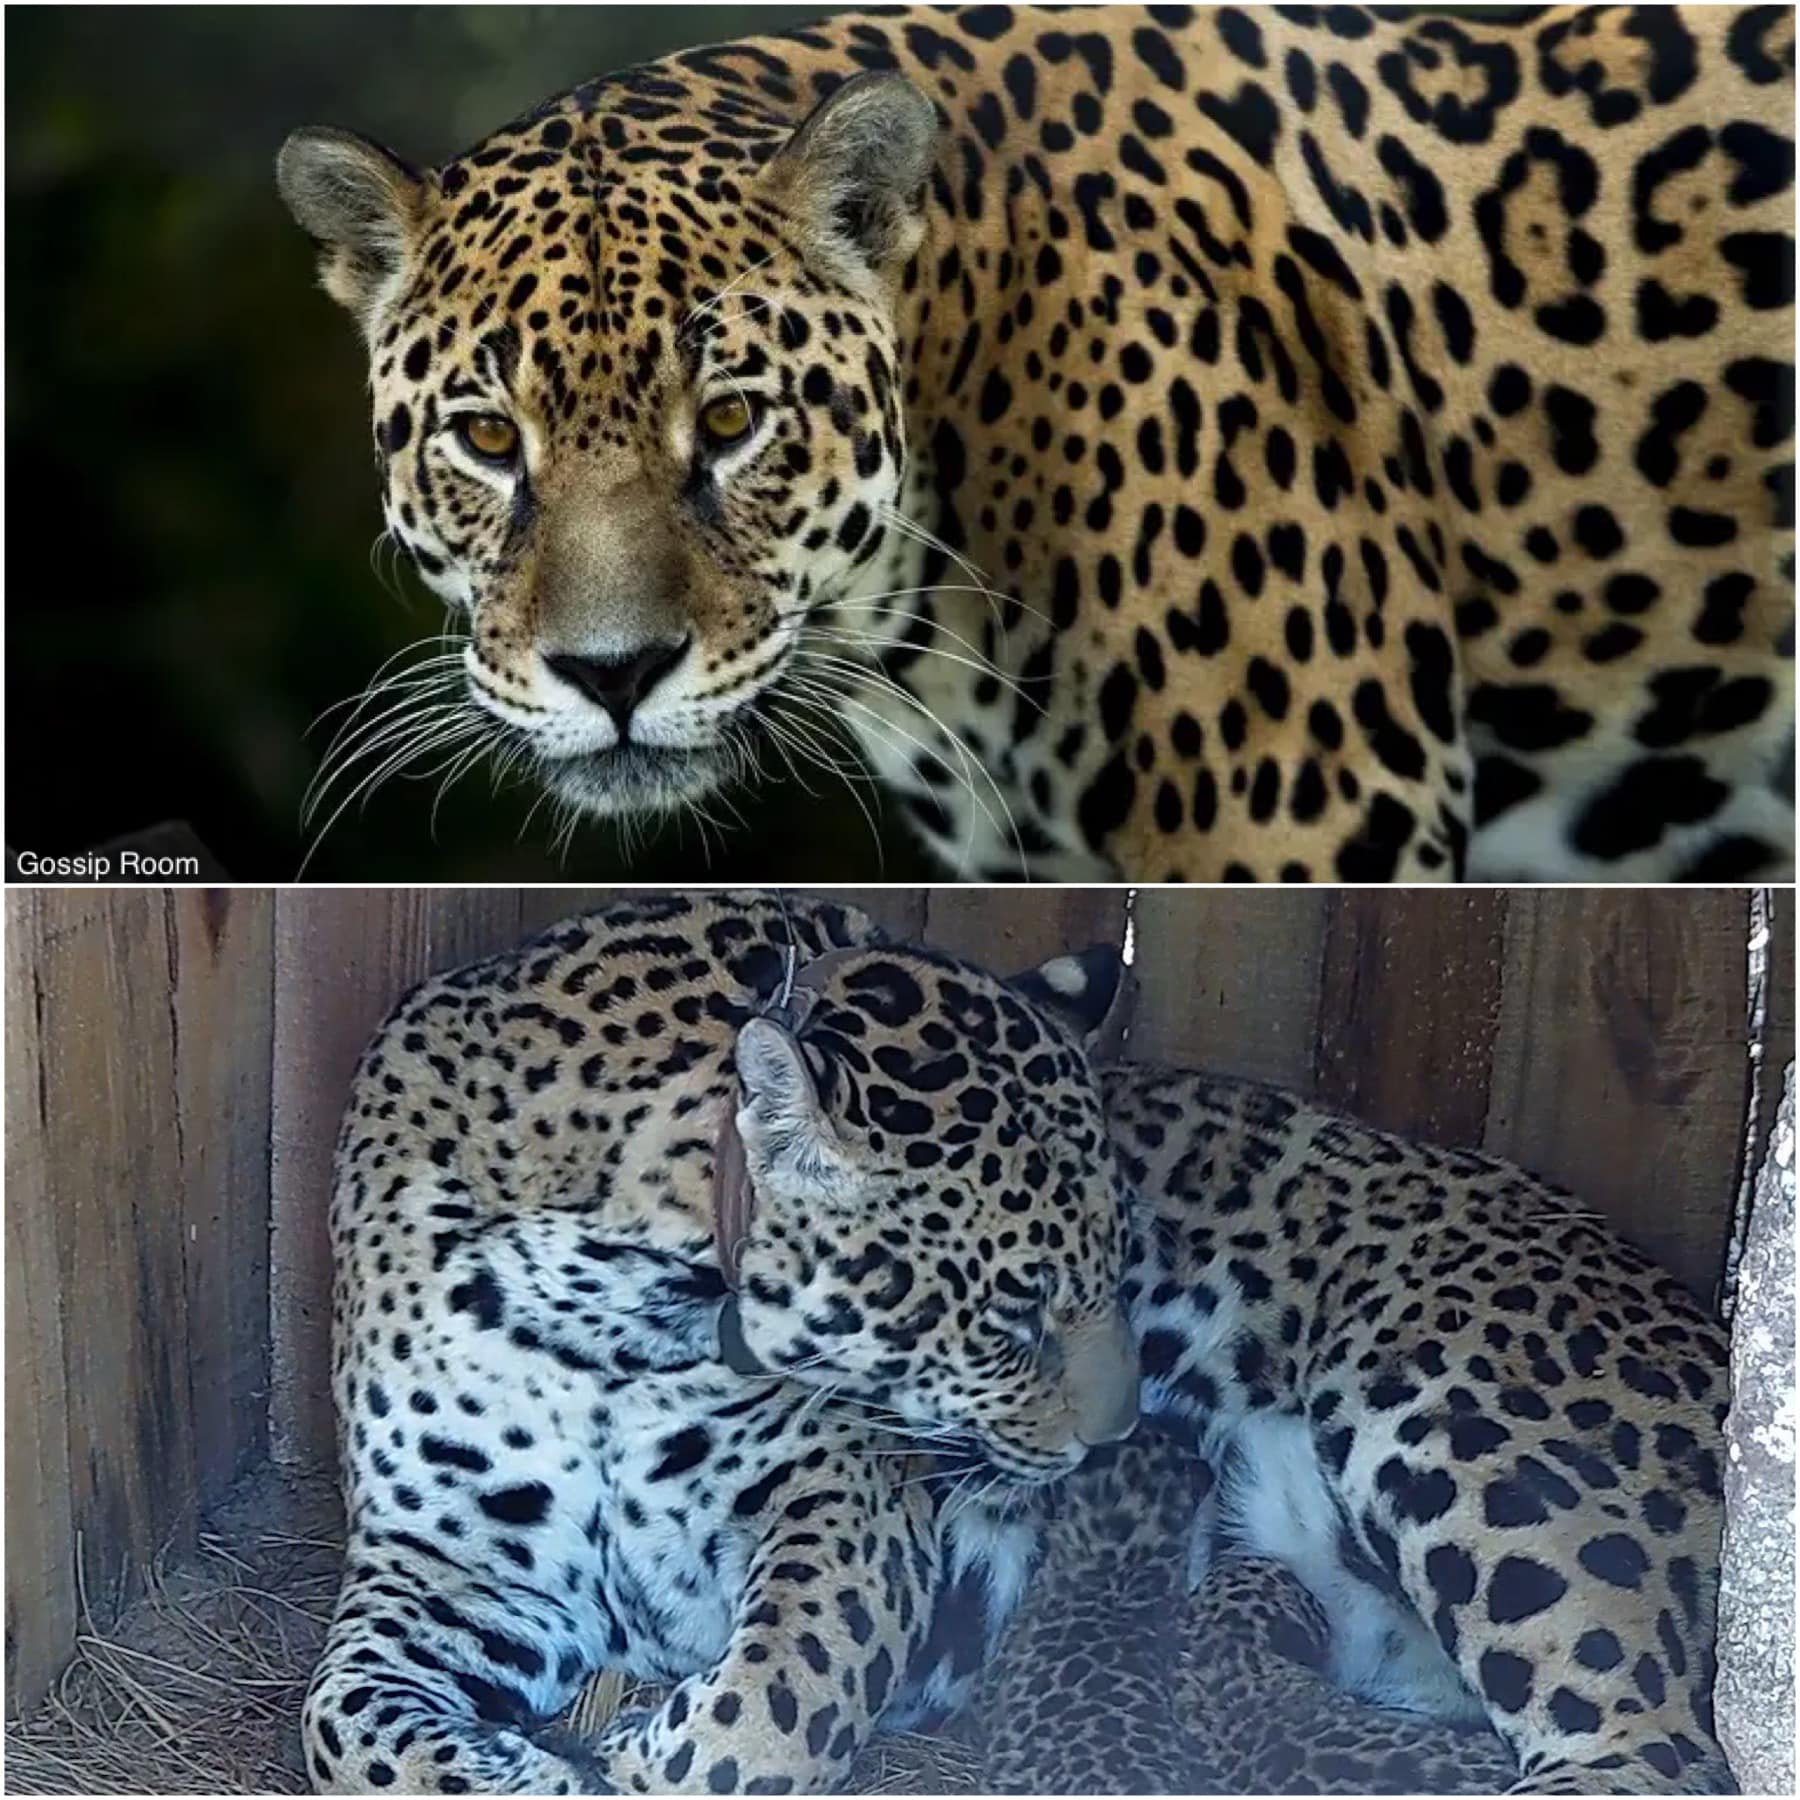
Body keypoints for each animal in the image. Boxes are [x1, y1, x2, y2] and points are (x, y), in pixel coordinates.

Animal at [301, 888, 1139, 1794]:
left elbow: (781, 1697)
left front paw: (633, 1756)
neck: (607, 1315)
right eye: (1016, 1308)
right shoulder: (448, 1563)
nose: (1120, 1434)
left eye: (1124, 1255)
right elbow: (344, 1725)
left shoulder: (842, 1489)